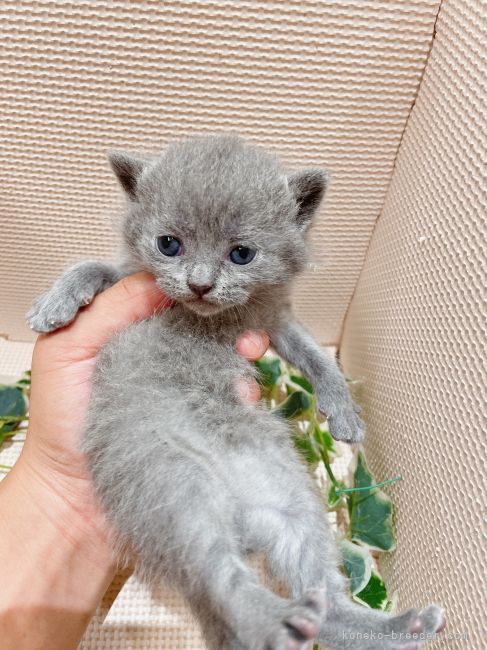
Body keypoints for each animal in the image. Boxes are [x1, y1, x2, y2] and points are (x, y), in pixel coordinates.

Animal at [27, 134, 446, 644]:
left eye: (242, 254)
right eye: (169, 245)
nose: (200, 284)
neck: (211, 319)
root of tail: (238, 507)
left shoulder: (275, 321)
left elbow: (317, 357)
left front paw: (343, 411)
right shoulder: (127, 279)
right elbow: (92, 267)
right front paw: (54, 305)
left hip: (292, 503)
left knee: (320, 598)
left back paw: (396, 626)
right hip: (172, 488)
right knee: (220, 582)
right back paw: (283, 622)